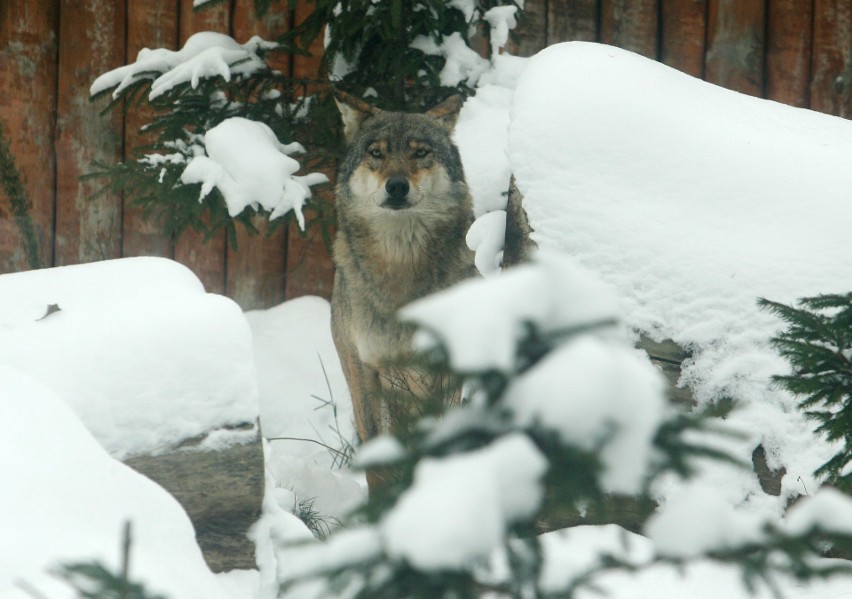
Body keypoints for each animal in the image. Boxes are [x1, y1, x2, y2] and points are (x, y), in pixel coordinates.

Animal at [332, 91, 480, 448]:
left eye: (420, 152)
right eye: (376, 153)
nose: (396, 186)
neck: (399, 265)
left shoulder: (442, 369)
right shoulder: (362, 366)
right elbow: (373, 442)